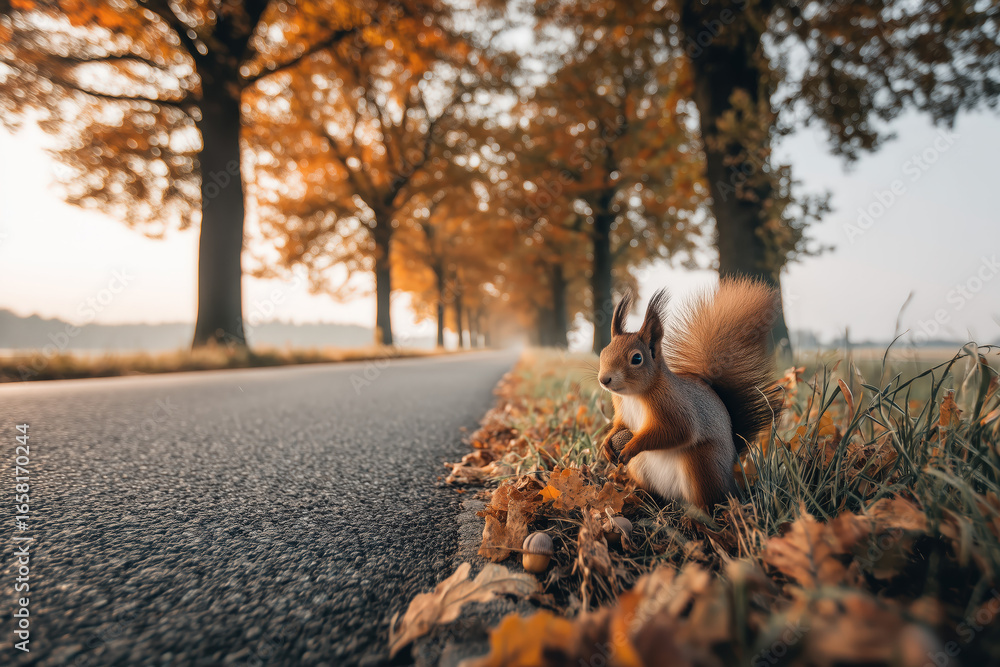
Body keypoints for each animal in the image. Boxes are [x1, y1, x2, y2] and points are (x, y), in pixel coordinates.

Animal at [597, 277, 783, 508]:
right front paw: (606, 444)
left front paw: (632, 446)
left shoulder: (673, 404)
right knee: (653, 492)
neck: (633, 395)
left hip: (702, 464)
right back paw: (641, 498)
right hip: (640, 468)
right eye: (603, 352)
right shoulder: (622, 410)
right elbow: (619, 425)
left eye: (637, 359)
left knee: (711, 500)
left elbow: (678, 430)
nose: (604, 379)